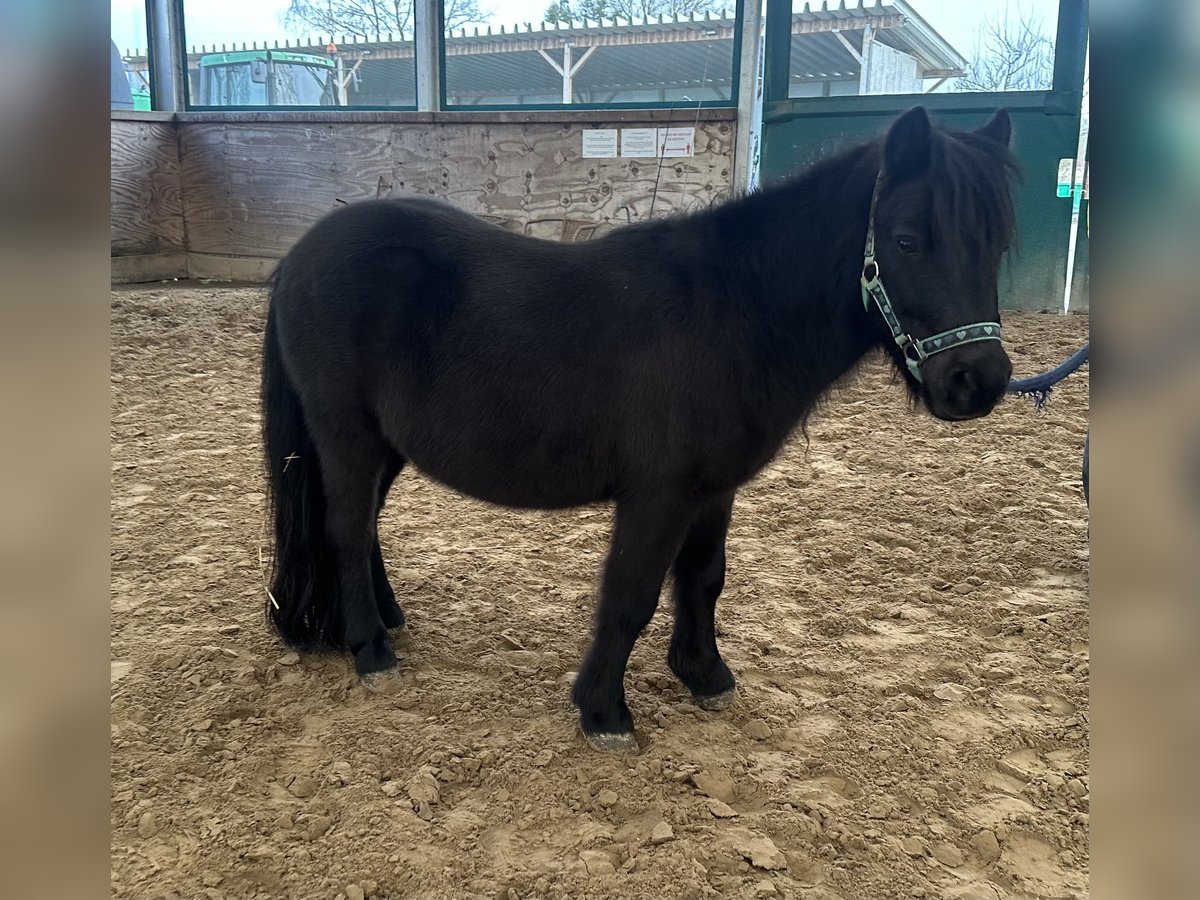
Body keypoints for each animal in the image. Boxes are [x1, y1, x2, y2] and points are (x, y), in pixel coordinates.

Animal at [262, 105, 1022, 753]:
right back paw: (370, 650)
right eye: (907, 240)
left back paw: (385, 620)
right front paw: (604, 712)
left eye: (996, 243)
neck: (734, 310)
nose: (977, 382)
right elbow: (630, 594)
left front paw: (705, 674)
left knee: (363, 527)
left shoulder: (714, 490)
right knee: (347, 528)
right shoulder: (658, 495)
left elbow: (704, 579)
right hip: (347, 434)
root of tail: (300, 255)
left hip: (387, 444)